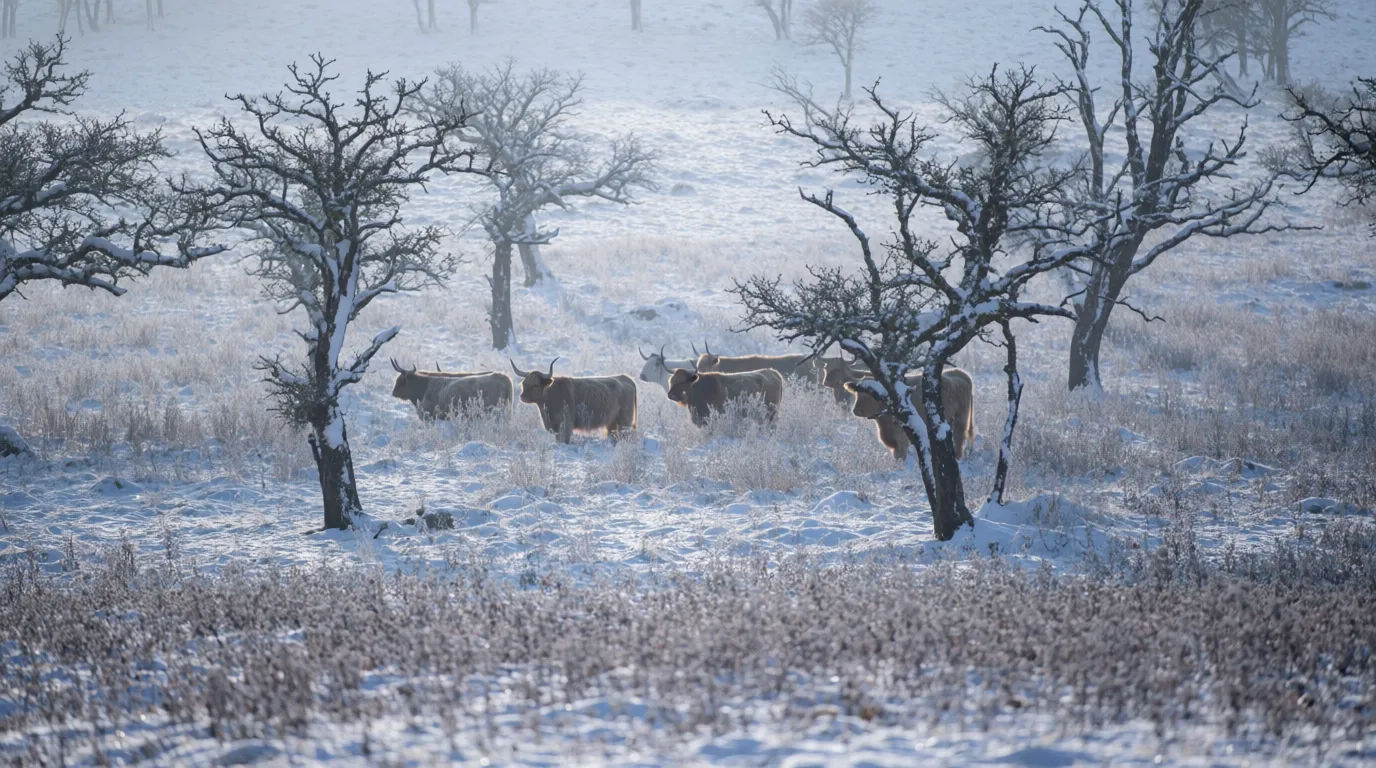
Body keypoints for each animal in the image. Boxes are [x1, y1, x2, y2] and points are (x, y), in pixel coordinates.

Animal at [843, 368, 975, 461]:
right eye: (857, 392)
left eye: (871, 394)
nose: (856, 410)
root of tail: (960, 373)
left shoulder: (900, 435)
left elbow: (900, 455)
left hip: (960, 420)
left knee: (959, 439)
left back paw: (958, 458)